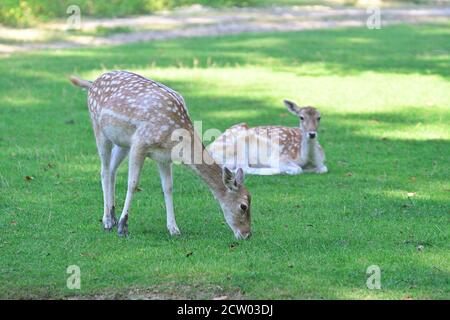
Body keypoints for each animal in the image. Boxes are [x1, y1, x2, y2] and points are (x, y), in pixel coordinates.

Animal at [71, 70, 253, 240]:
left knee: (112, 171)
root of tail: (93, 82)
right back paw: (108, 221)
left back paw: (112, 215)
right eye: (243, 206)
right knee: (104, 170)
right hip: (98, 128)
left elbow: (168, 187)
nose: (247, 234)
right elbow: (133, 184)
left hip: (122, 142)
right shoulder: (140, 143)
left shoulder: (164, 157)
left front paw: (174, 229)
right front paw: (123, 227)